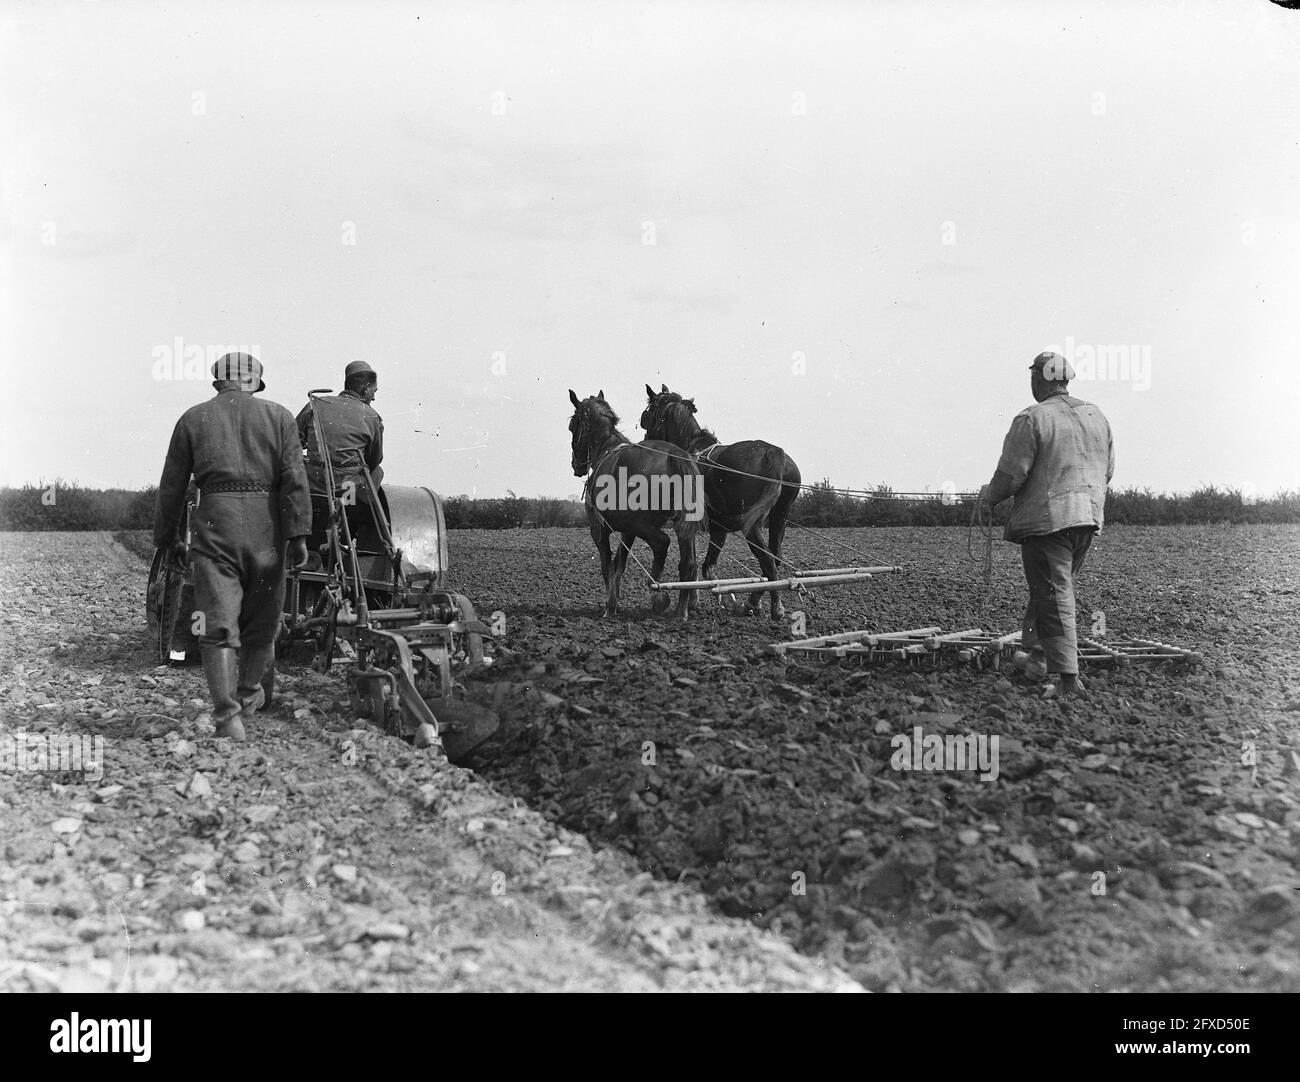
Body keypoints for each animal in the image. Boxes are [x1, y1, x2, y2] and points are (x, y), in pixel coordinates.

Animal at [569, 390, 702, 624]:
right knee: (688, 563)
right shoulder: (627, 532)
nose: (575, 465)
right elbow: (619, 564)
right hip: (682, 524)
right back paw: (682, 610)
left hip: (641, 524)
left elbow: (607, 566)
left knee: (662, 543)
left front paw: (610, 606)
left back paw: (657, 594)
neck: (606, 448)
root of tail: (676, 456)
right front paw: (615, 601)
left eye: (572, 426)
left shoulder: (599, 529)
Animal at [642, 382, 800, 616]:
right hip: (779, 518)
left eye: (650, 412)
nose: (645, 440)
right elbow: (706, 566)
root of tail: (772, 451)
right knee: (774, 558)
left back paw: (771, 606)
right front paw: (720, 599)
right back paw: (753, 601)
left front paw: (701, 600)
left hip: (752, 526)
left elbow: (694, 565)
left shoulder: (689, 525)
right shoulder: (718, 529)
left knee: (768, 560)